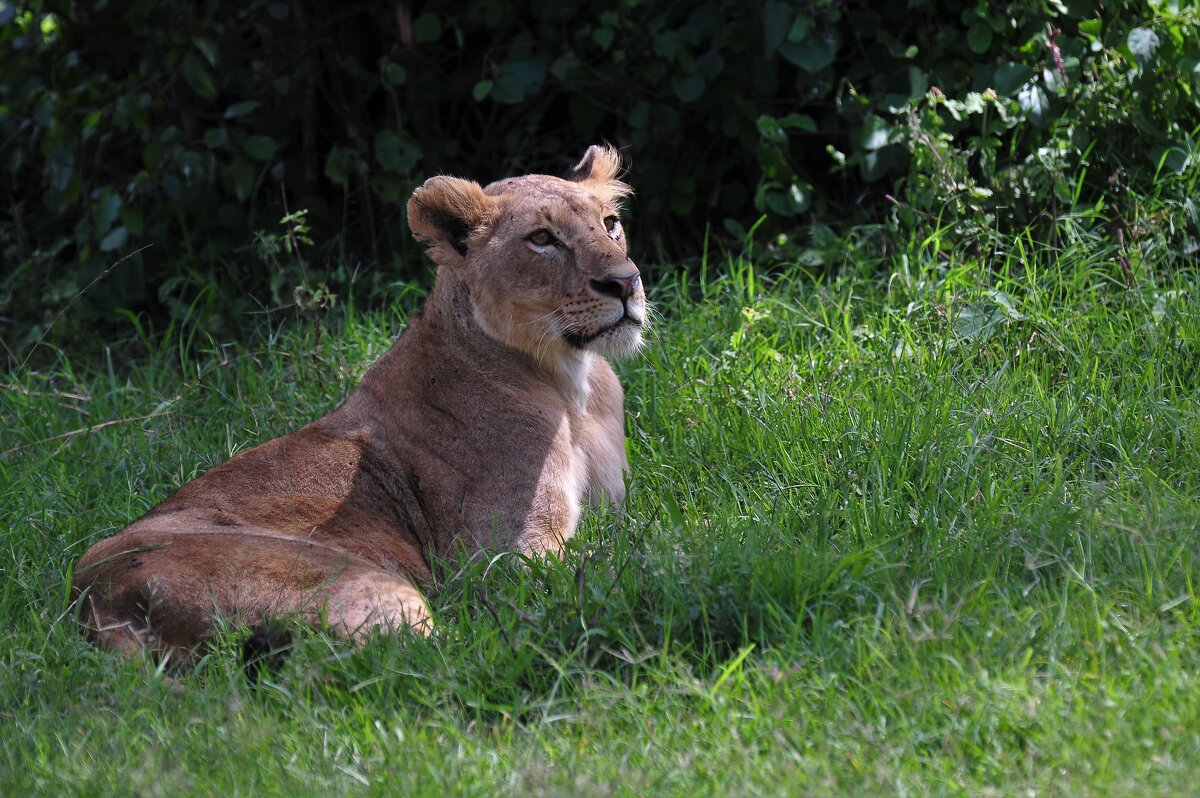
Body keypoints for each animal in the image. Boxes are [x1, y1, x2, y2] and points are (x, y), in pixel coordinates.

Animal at [70, 146, 652, 662]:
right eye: (542, 239)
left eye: (610, 224)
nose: (625, 282)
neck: (570, 384)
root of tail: (93, 600)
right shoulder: (502, 559)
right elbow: (616, 557)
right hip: (372, 588)